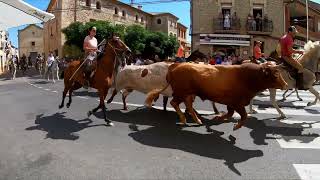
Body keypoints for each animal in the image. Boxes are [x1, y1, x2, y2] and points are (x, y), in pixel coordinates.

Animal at [145, 62, 288, 130]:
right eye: (275, 74)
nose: (286, 84)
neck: (247, 77)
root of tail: (175, 66)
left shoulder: (232, 104)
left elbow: (230, 114)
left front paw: (218, 117)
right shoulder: (237, 103)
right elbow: (244, 116)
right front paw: (235, 126)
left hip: (189, 94)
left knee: (188, 106)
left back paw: (197, 120)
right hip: (181, 92)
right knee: (174, 103)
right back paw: (184, 120)